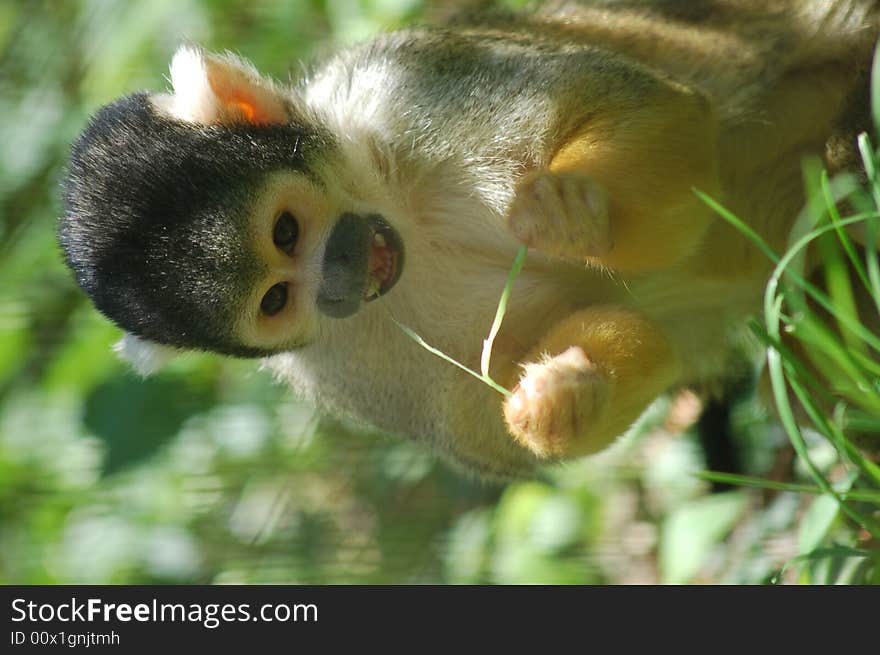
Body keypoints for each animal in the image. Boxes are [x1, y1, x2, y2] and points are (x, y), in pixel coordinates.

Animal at [58, 2, 876, 480]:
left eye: (286, 228)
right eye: (275, 299)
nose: (344, 273)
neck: (398, 215)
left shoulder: (400, 87)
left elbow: (658, 110)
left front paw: (577, 211)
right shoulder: (341, 368)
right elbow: (520, 403)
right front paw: (559, 398)